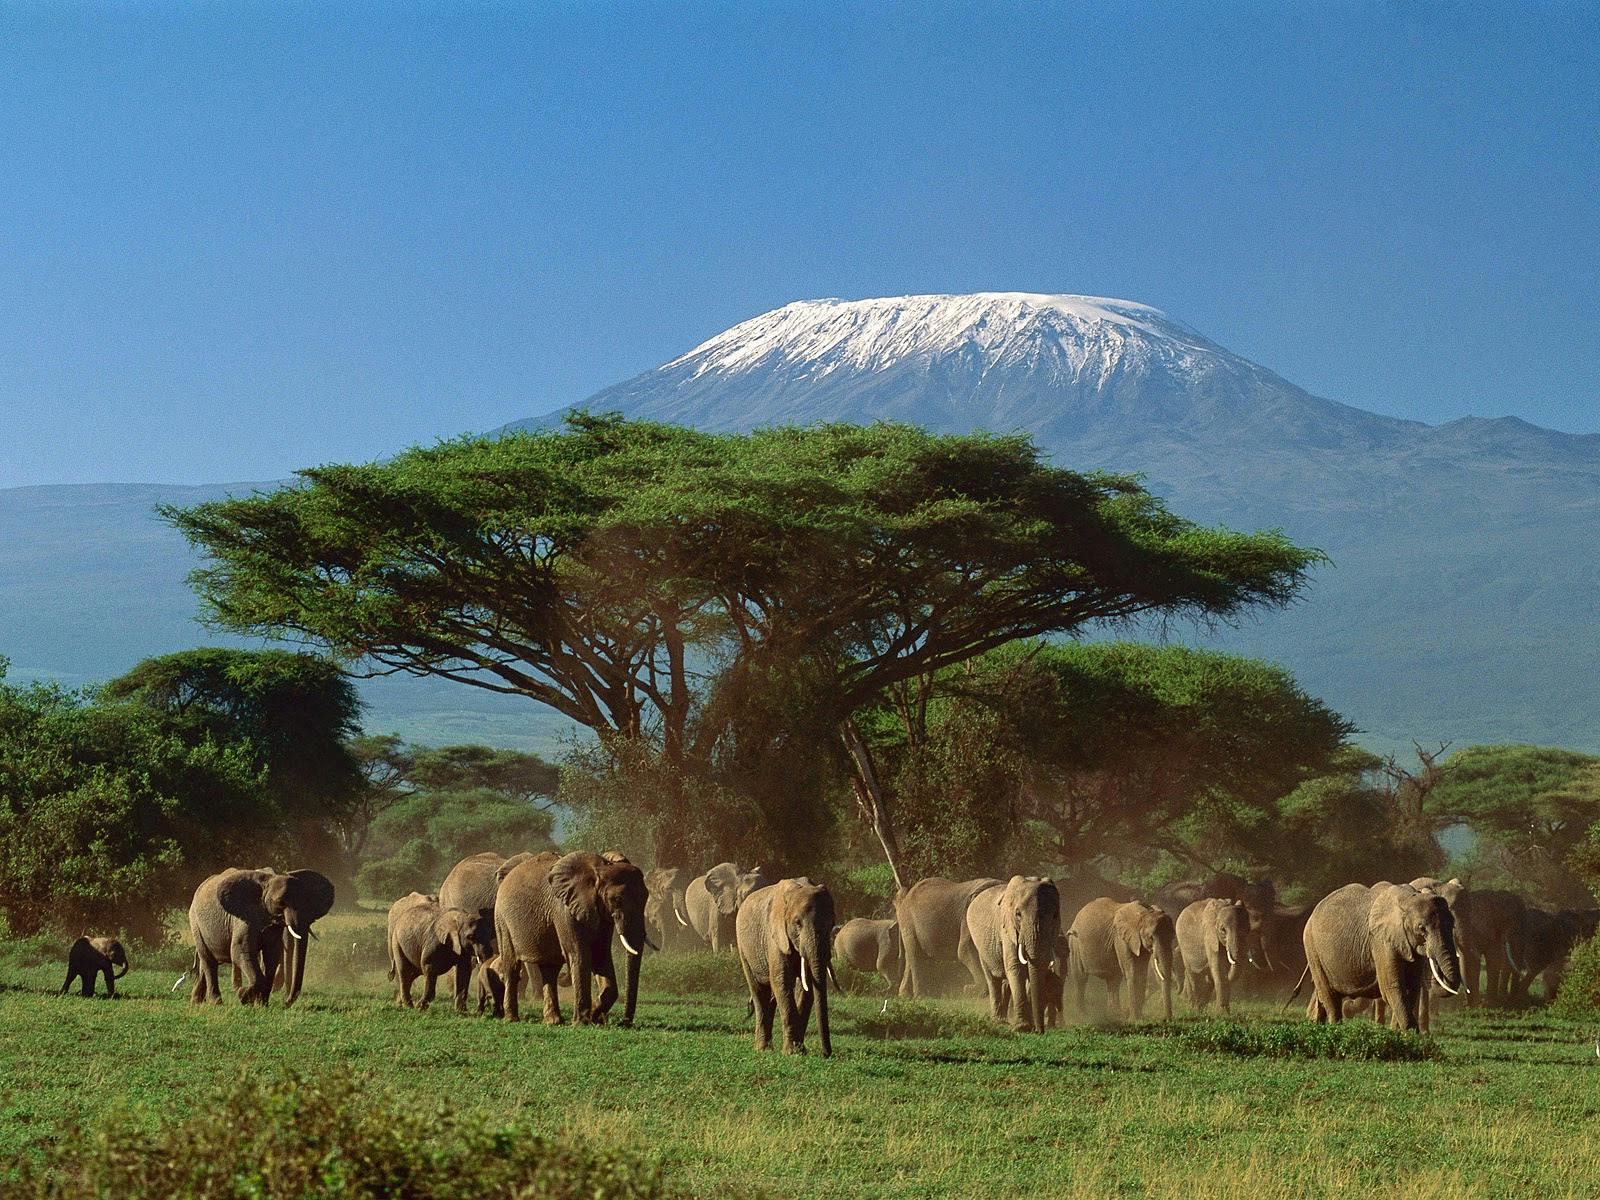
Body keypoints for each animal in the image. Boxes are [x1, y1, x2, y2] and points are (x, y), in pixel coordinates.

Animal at [187, 870, 334, 1011]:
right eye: (281, 903)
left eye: (307, 903)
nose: (285, 1003)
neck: (268, 881)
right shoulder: (243, 919)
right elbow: (240, 951)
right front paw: (243, 996)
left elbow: (272, 955)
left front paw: (261, 1004)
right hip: (195, 923)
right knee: (208, 960)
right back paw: (216, 1003)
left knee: (206, 963)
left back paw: (196, 1001)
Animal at [496, 851, 652, 1030]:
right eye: (617, 900)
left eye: (646, 897)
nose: (625, 1023)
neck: (599, 869)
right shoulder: (564, 910)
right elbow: (579, 955)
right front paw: (582, 1023)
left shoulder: (601, 914)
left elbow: (601, 955)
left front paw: (595, 1016)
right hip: (502, 920)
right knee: (512, 966)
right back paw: (511, 1019)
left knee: (550, 971)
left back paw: (553, 1021)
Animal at [736, 876, 838, 1056]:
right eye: (797, 923)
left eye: (831, 923)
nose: (826, 1054)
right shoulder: (775, 936)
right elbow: (782, 981)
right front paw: (792, 1052)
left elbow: (805, 987)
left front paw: (799, 1050)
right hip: (743, 948)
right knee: (759, 992)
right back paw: (762, 1049)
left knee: (770, 998)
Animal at [960, 876, 1062, 1036]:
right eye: (1018, 914)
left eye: (1055, 915)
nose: (1040, 1031)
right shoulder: (1007, 929)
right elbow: (1016, 968)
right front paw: (1023, 1028)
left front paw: (1028, 1026)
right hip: (980, 944)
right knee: (992, 979)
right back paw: (998, 1021)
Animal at [1299, 883, 1465, 1036]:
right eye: (1421, 928)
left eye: (1452, 924)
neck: (1409, 899)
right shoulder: (1382, 942)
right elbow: (1393, 987)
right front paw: (1411, 1036)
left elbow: (1411, 987)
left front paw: (1400, 1035)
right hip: (1312, 947)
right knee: (1330, 995)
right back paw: (1334, 1030)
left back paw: (1315, 1026)